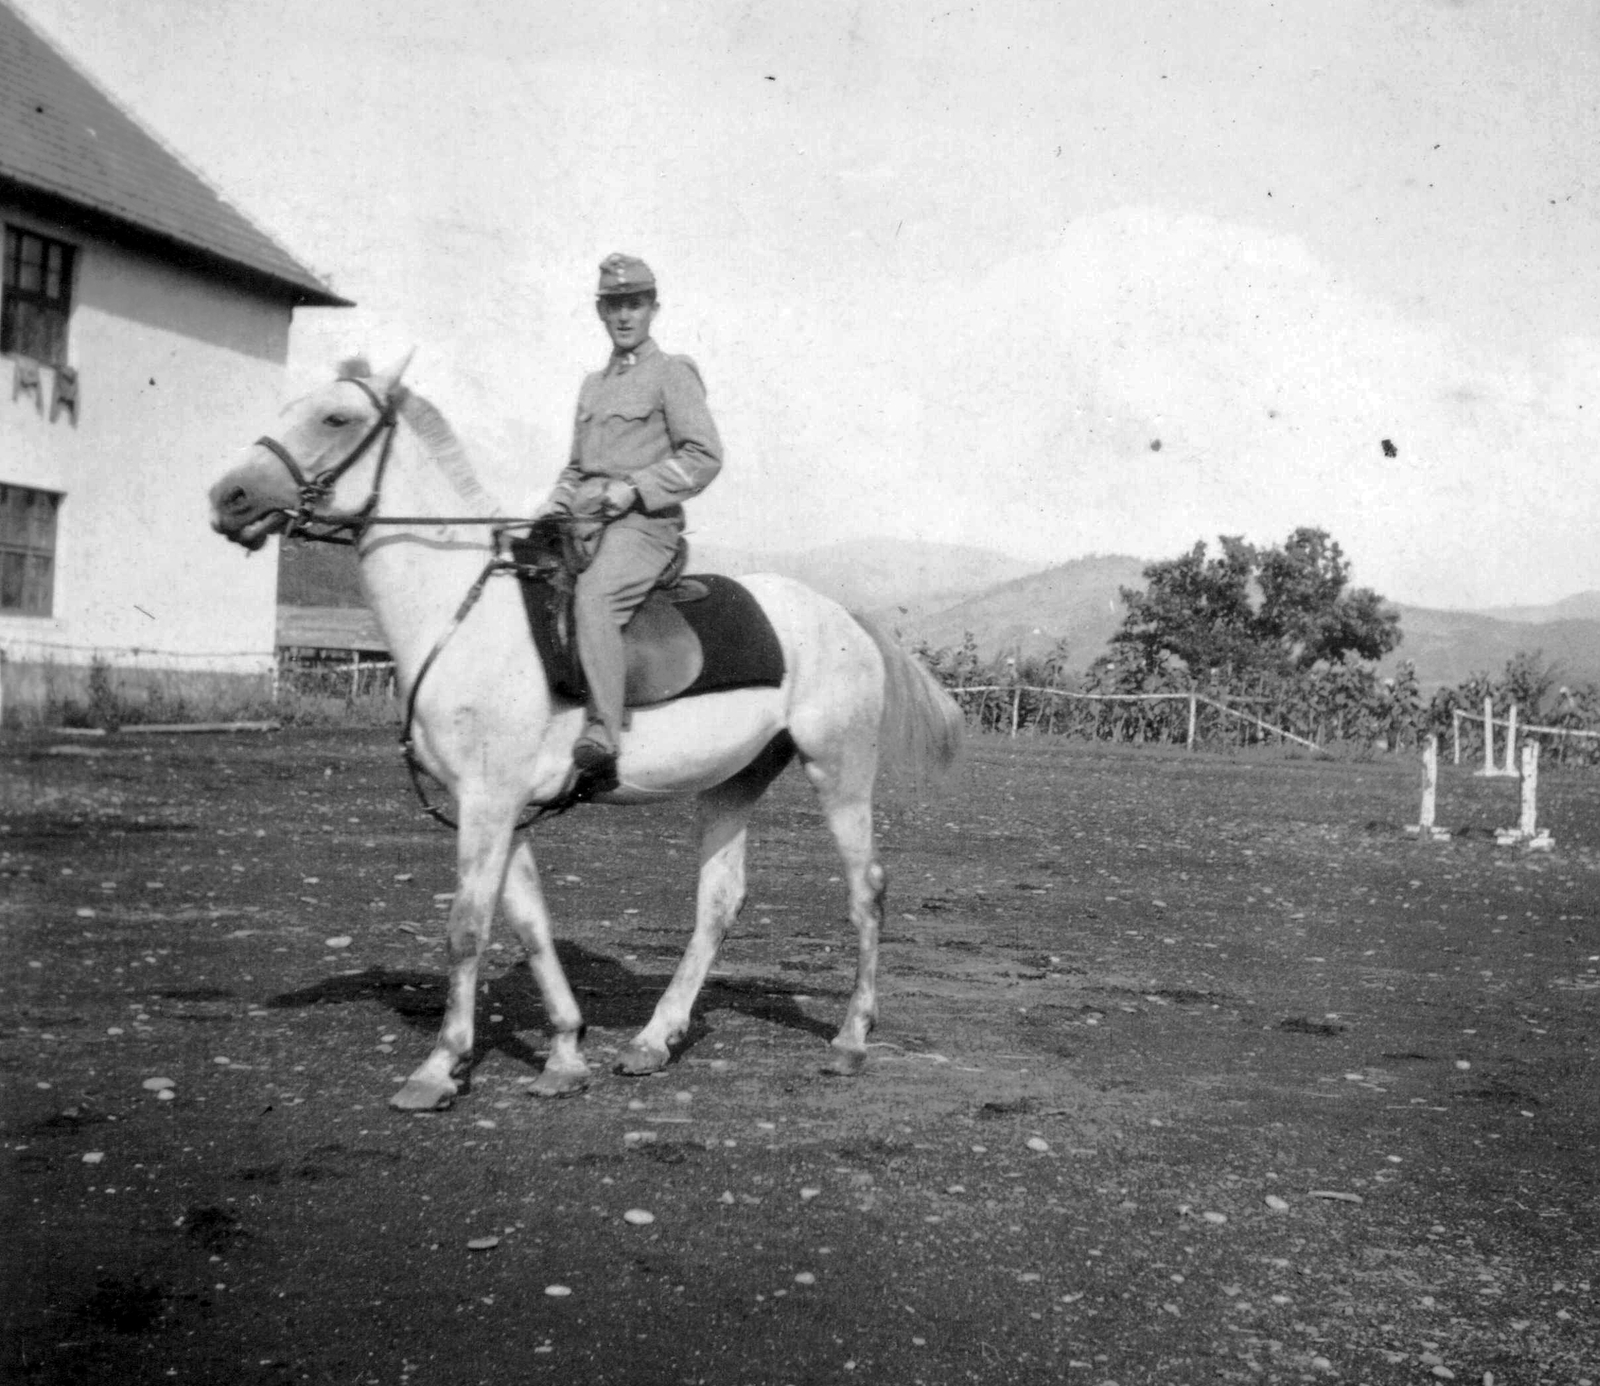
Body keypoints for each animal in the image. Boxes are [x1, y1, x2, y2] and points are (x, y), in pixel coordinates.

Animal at [208, 354, 963, 1111]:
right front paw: (566, 1054)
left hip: (839, 772)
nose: (227, 496)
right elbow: (530, 926)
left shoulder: (488, 803)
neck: (466, 615)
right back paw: (654, 1040)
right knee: (719, 902)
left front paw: (439, 1068)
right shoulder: (503, 808)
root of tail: (840, 613)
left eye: (335, 418)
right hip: (733, 781)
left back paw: (850, 1040)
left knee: (866, 891)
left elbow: (467, 929)